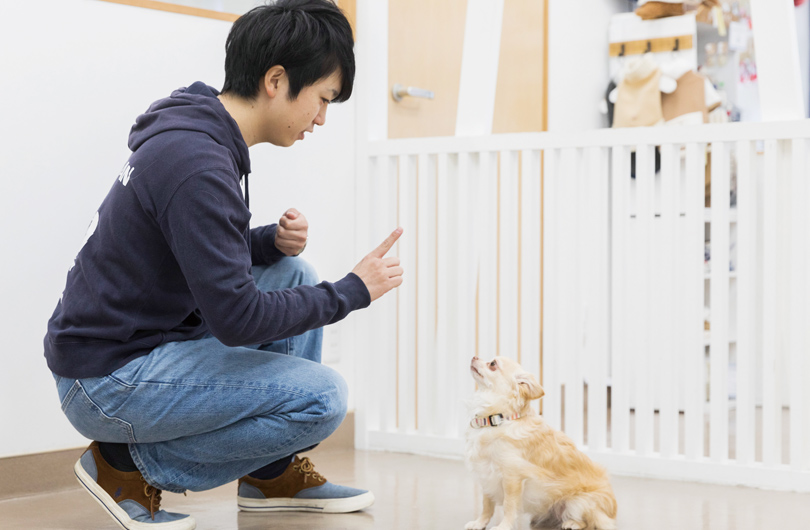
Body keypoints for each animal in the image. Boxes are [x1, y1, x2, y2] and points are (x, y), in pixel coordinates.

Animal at [464, 354, 616, 528]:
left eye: (493, 364)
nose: (474, 356)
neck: (498, 419)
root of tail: (612, 512)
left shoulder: (511, 477)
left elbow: (509, 506)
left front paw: (504, 526)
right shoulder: (486, 475)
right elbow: (487, 505)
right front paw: (479, 523)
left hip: (580, 502)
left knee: (589, 522)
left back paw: (572, 523)